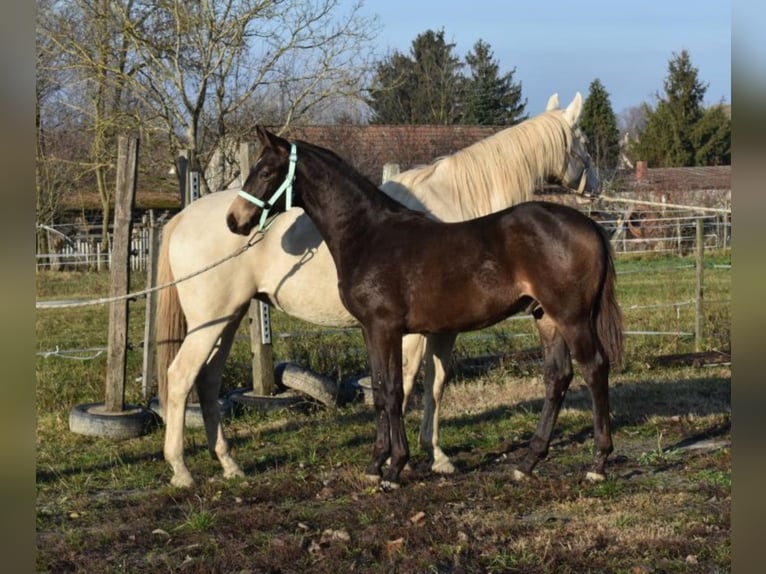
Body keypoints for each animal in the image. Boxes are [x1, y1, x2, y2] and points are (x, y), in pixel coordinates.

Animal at [157, 93, 601, 488]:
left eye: (266, 172)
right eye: (582, 140)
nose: (236, 220)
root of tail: (178, 219)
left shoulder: (426, 328)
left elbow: (425, 386)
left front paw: (422, 457)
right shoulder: (411, 331)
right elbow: (403, 388)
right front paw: (412, 459)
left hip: (227, 319)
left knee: (206, 382)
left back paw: (228, 465)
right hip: (213, 320)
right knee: (181, 377)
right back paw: (182, 469)